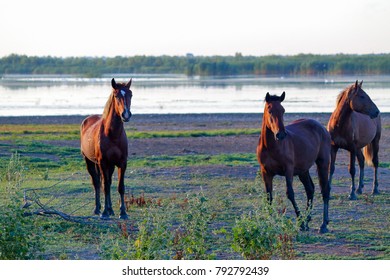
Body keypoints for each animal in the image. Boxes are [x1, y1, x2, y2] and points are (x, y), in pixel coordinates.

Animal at [80, 77, 133, 220]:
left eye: (130, 94)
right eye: (116, 95)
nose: (126, 115)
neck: (112, 135)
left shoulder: (122, 163)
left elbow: (120, 186)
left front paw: (123, 212)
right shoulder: (103, 162)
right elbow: (105, 186)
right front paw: (104, 213)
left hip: (110, 165)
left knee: (106, 181)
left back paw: (110, 210)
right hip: (90, 162)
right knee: (97, 183)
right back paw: (98, 209)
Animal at [256, 92, 332, 234]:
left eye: (283, 110)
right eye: (270, 110)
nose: (280, 134)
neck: (271, 147)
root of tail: (322, 128)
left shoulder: (288, 170)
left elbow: (290, 193)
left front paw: (300, 222)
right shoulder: (266, 172)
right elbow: (269, 197)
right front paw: (270, 222)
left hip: (323, 163)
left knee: (325, 190)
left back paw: (323, 224)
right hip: (303, 170)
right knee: (310, 189)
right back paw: (307, 220)